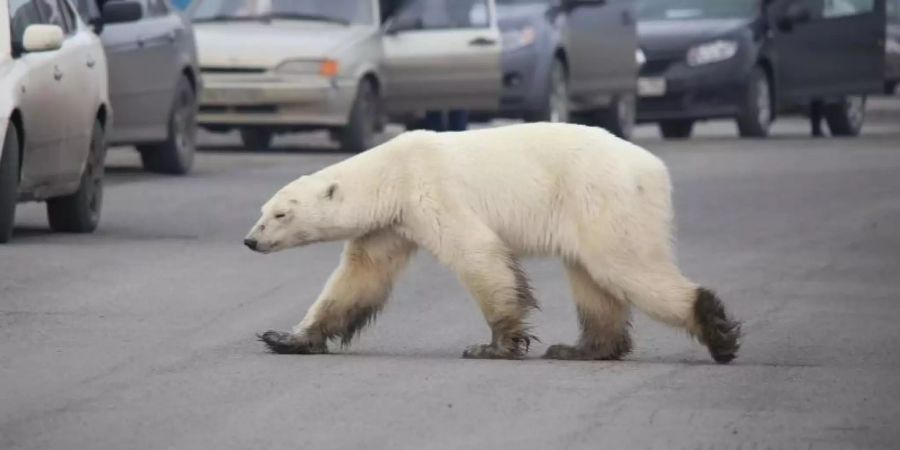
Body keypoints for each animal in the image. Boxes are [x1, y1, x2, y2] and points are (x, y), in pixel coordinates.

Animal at [243, 121, 740, 364]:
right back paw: (580, 348)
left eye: (281, 214)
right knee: (592, 279)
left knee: (625, 266)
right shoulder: (390, 225)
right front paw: (286, 337)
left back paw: (717, 331)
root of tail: (655, 169)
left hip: (601, 197)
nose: (249, 241)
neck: (391, 172)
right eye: (263, 210)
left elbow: (478, 254)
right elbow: (359, 278)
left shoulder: (431, 191)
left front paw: (494, 346)